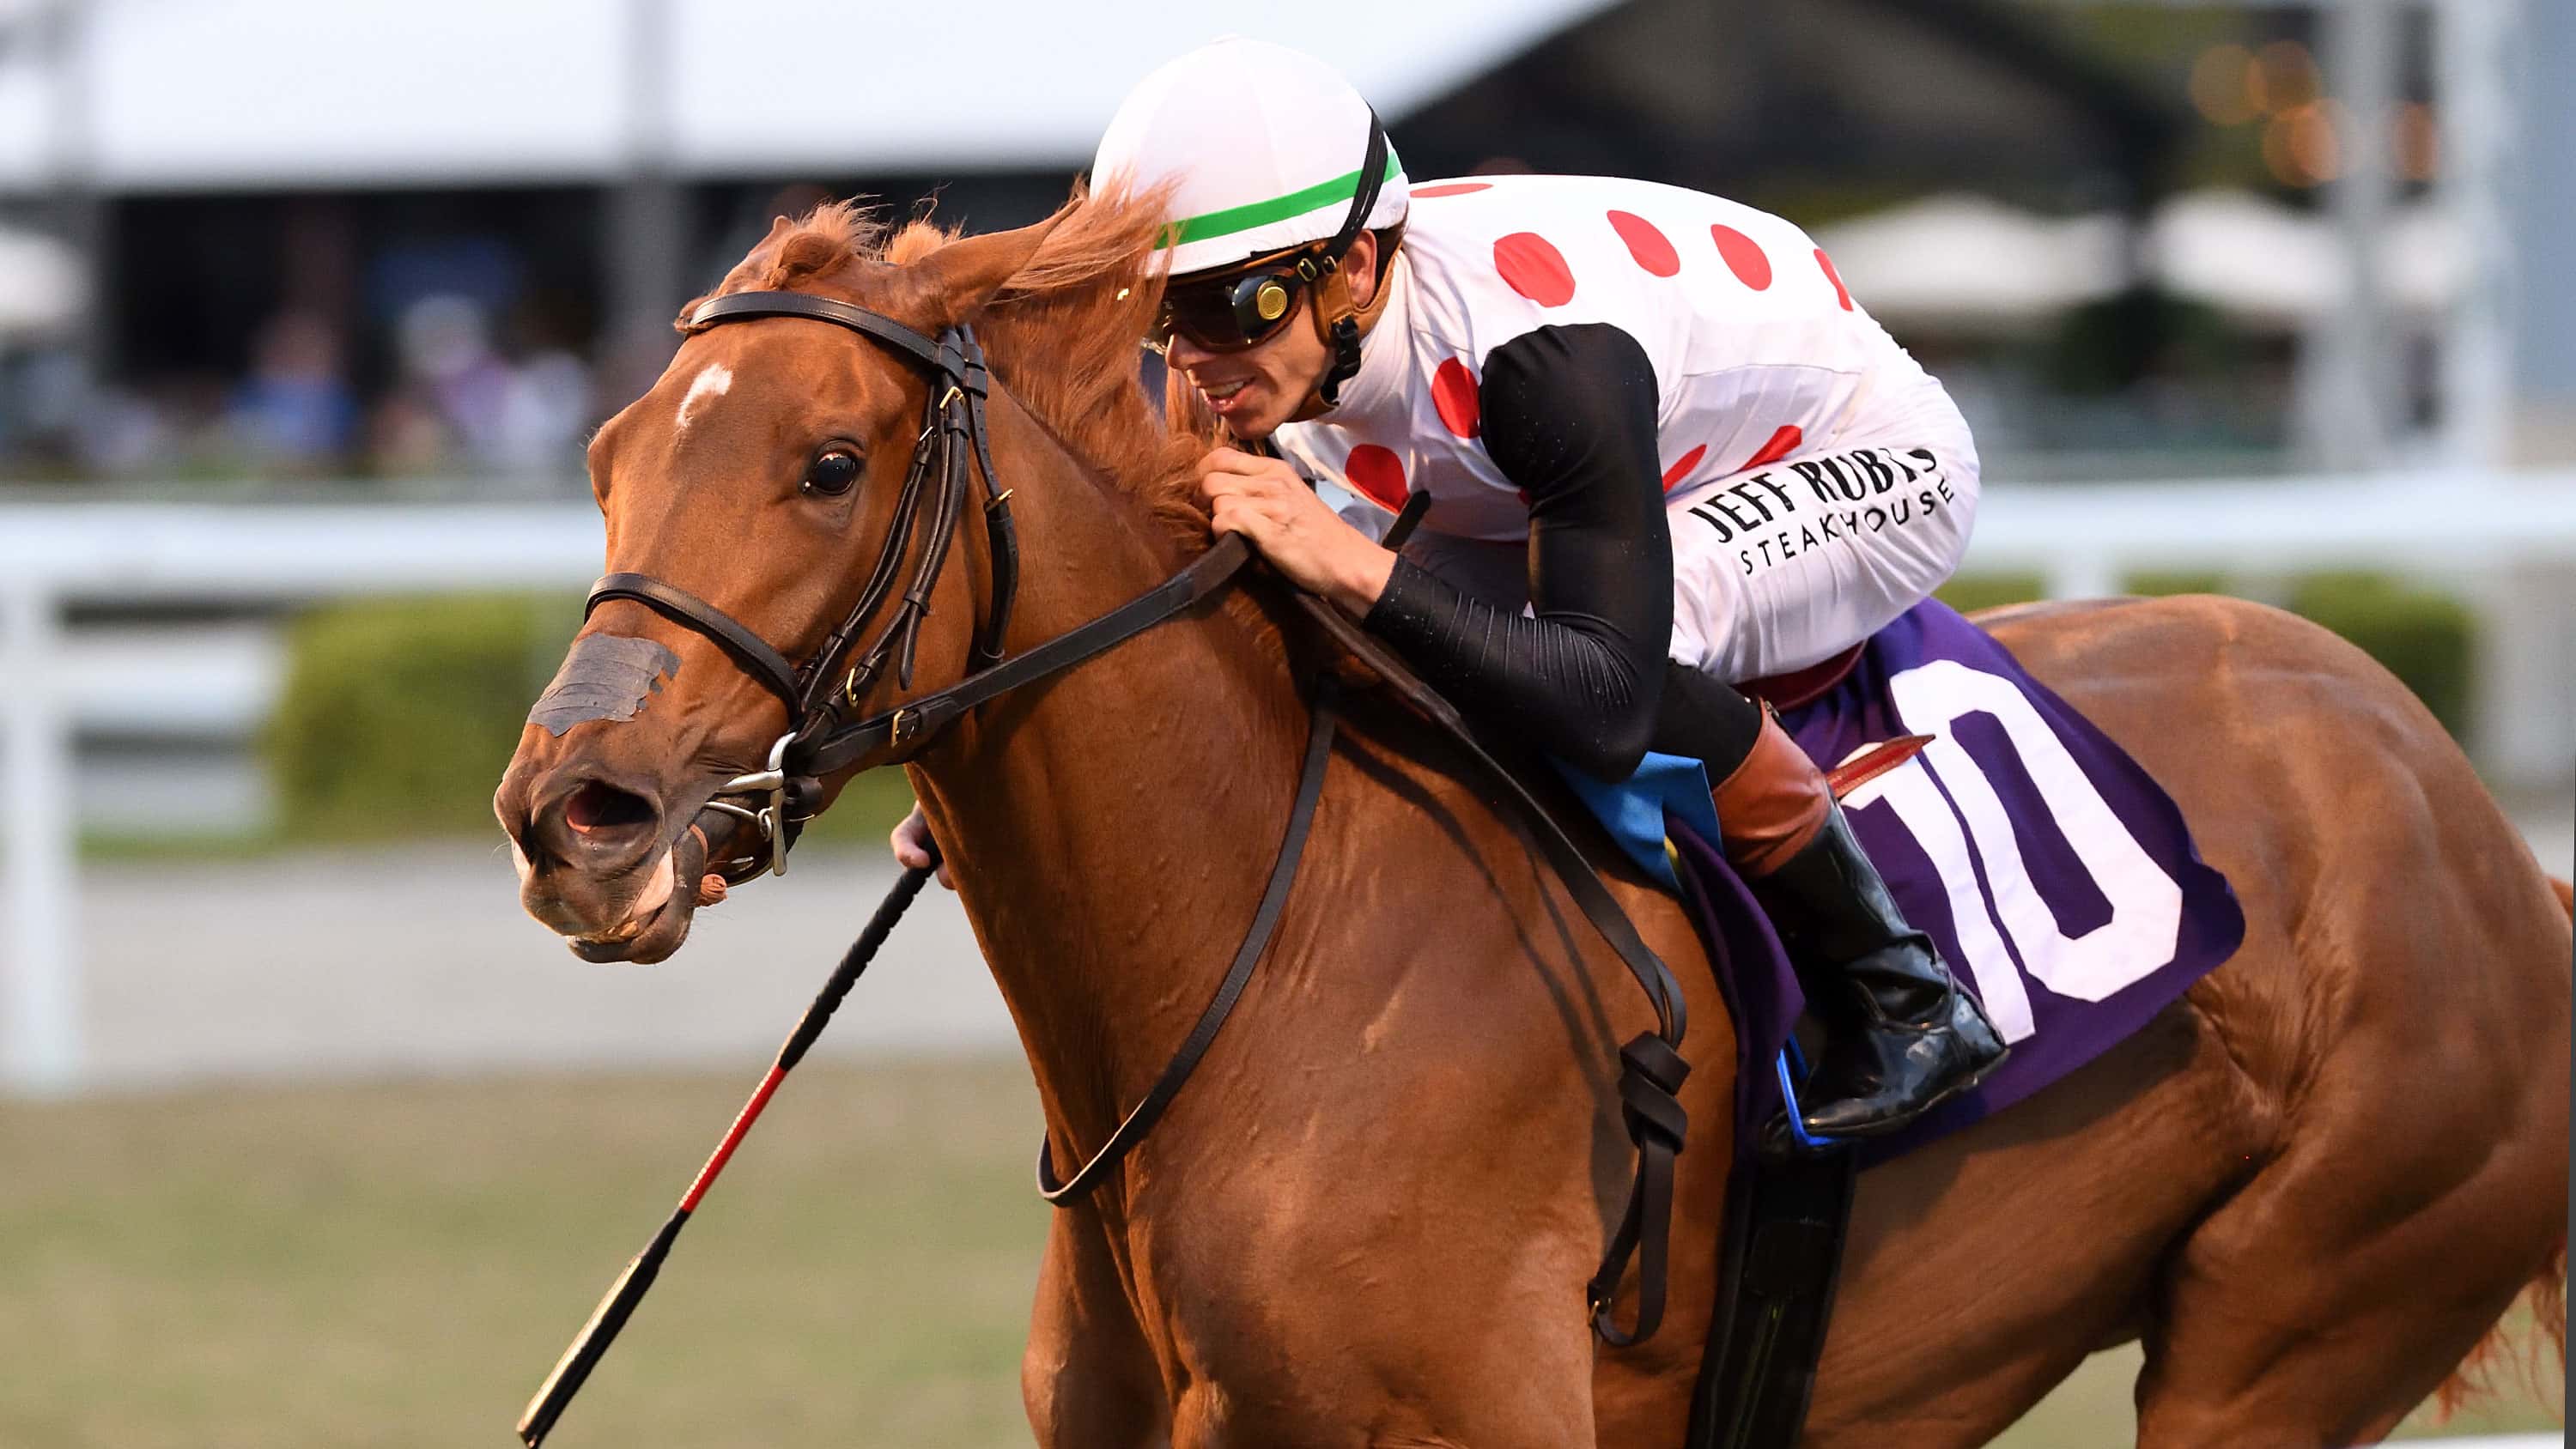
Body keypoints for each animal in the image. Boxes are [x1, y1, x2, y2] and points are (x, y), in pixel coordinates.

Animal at [493, 188, 2571, 1447]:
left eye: (831, 463)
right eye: (606, 453)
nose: (572, 812)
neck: (1266, 965)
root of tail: (2476, 826)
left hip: (2302, 1311)